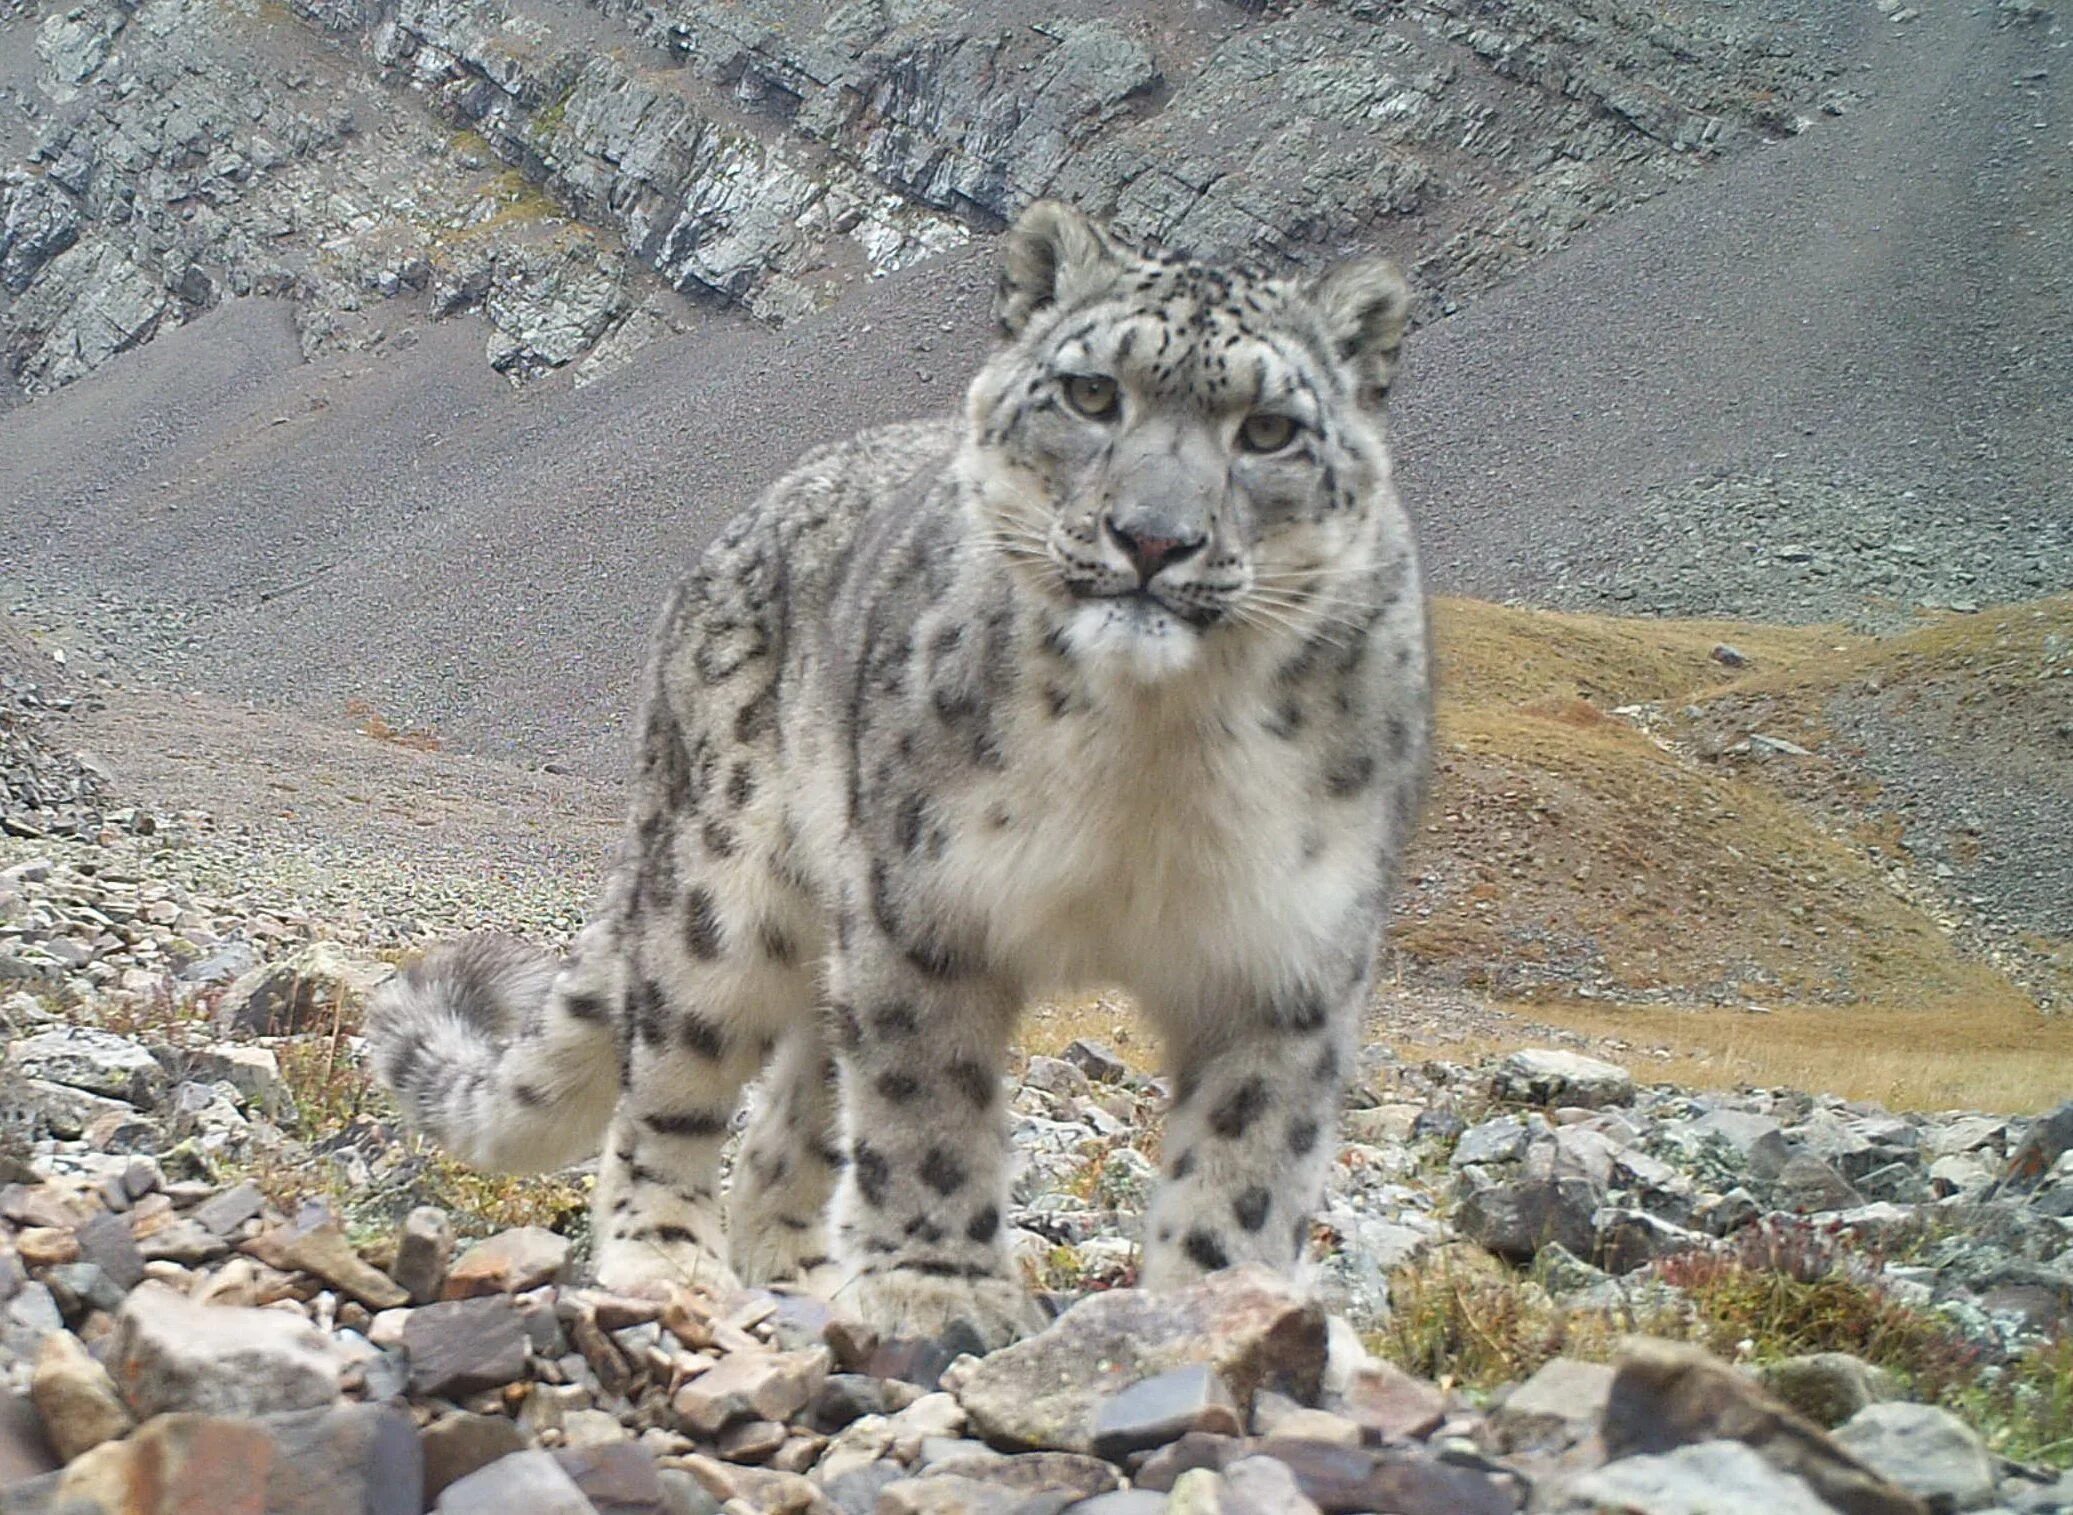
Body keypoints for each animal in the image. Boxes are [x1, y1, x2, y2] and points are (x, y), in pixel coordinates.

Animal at [368, 201, 1426, 1351]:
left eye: (1270, 429)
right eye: (1092, 392)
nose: (1152, 539)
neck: (1155, 758)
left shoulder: (1285, 962)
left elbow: (1245, 1163)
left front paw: (1216, 1312)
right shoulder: (926, 904)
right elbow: (928, 1107)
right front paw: (941, 1288)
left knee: (788, 1130)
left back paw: (809, 1273)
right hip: (725, 890)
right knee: (672, 1087)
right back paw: (669, 1265)